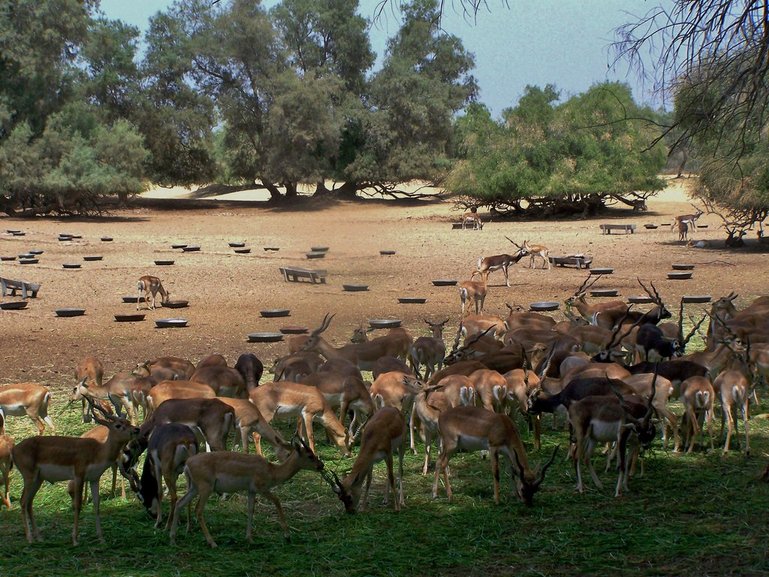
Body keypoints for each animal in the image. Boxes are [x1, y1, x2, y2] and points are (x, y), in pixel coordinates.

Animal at [11, 398, 140, 544]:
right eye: (118, 425)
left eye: (128, 422)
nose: (137, 429)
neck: (98, 451)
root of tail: (14, 449)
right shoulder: (79, 476)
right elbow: (78, 506)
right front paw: (75, 539)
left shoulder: (94, 479)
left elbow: (97, 506)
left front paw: (101, 538)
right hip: (29, 477)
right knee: (23, 501)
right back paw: (29, 538)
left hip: (38, 479)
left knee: (29, 503)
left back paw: (39, 537)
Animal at [168, 438, 324, 548]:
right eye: (310, 455)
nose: (321, 465)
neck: (272, 471)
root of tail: (187, 464)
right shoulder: (261, 487)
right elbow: (277, 501)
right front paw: (287, 536)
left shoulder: (251, 490)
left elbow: (250, 509)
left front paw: (249, 538)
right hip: (205, 487)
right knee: (198, 510)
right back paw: (212, 543)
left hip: (194, 487)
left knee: (180, 503)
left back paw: (173, 538)